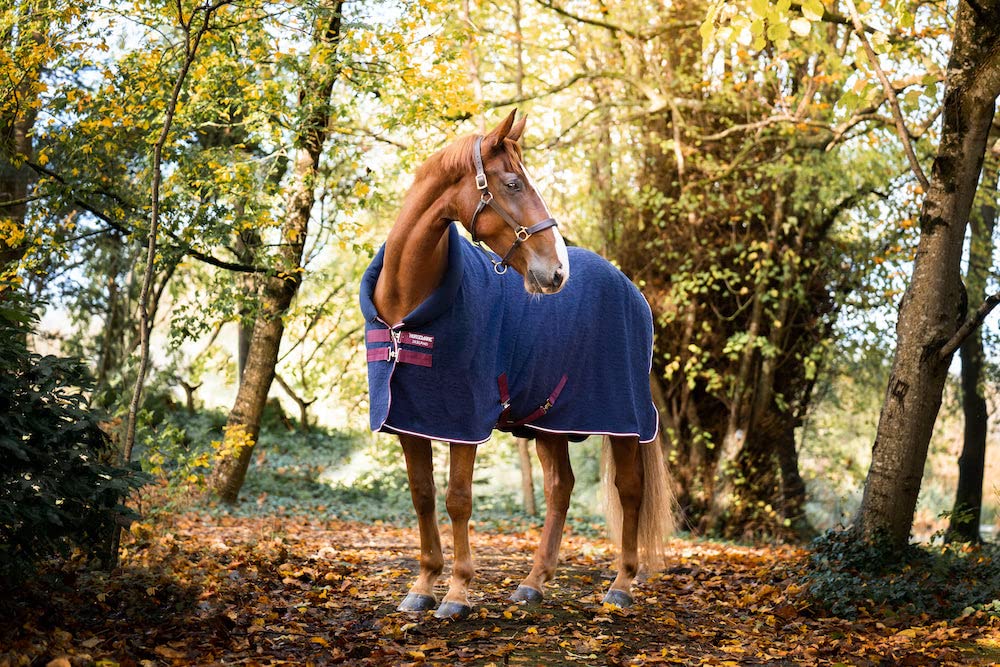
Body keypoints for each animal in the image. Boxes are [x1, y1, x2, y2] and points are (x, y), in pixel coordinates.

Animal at [359, 110, 675, 619]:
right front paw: (423, 587)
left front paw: (457, 594)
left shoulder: (464, 420)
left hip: (623, 417)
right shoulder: (410, 419)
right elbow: (423, 496)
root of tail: (631, 288)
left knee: (629, 489)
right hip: (550, 421)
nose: (557, 271)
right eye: (512, 183)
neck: (408, 306)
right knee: (560, 488)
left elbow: (458, 500)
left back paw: (622, 584)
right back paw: (534, 582)